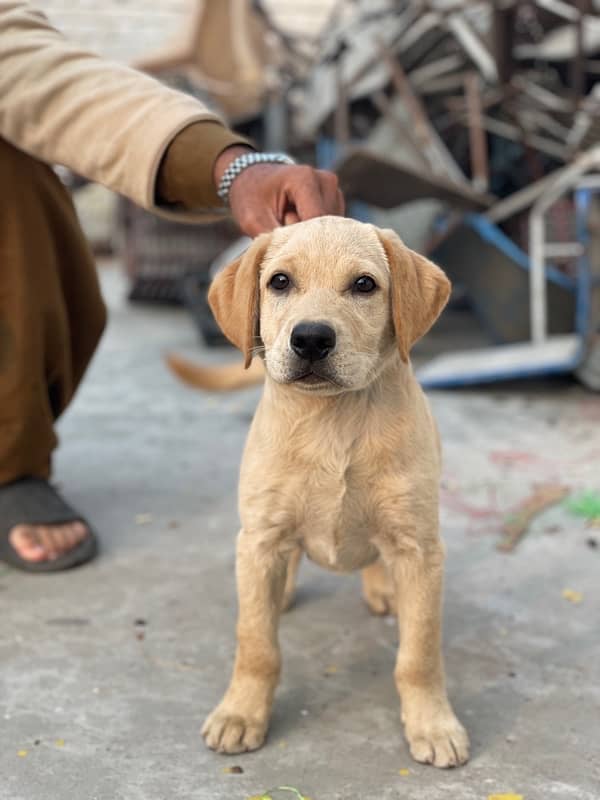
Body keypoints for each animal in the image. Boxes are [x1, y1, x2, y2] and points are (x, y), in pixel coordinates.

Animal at [197, 216, 468, 764]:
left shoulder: (420, 547)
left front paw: (433, 724)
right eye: (279, 282)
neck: (332, 420)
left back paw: (384, 587)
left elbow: (419, 654)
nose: (311, 339)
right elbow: (256, 644)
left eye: (364, 285)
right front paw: (240, 713)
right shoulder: (260, 536)